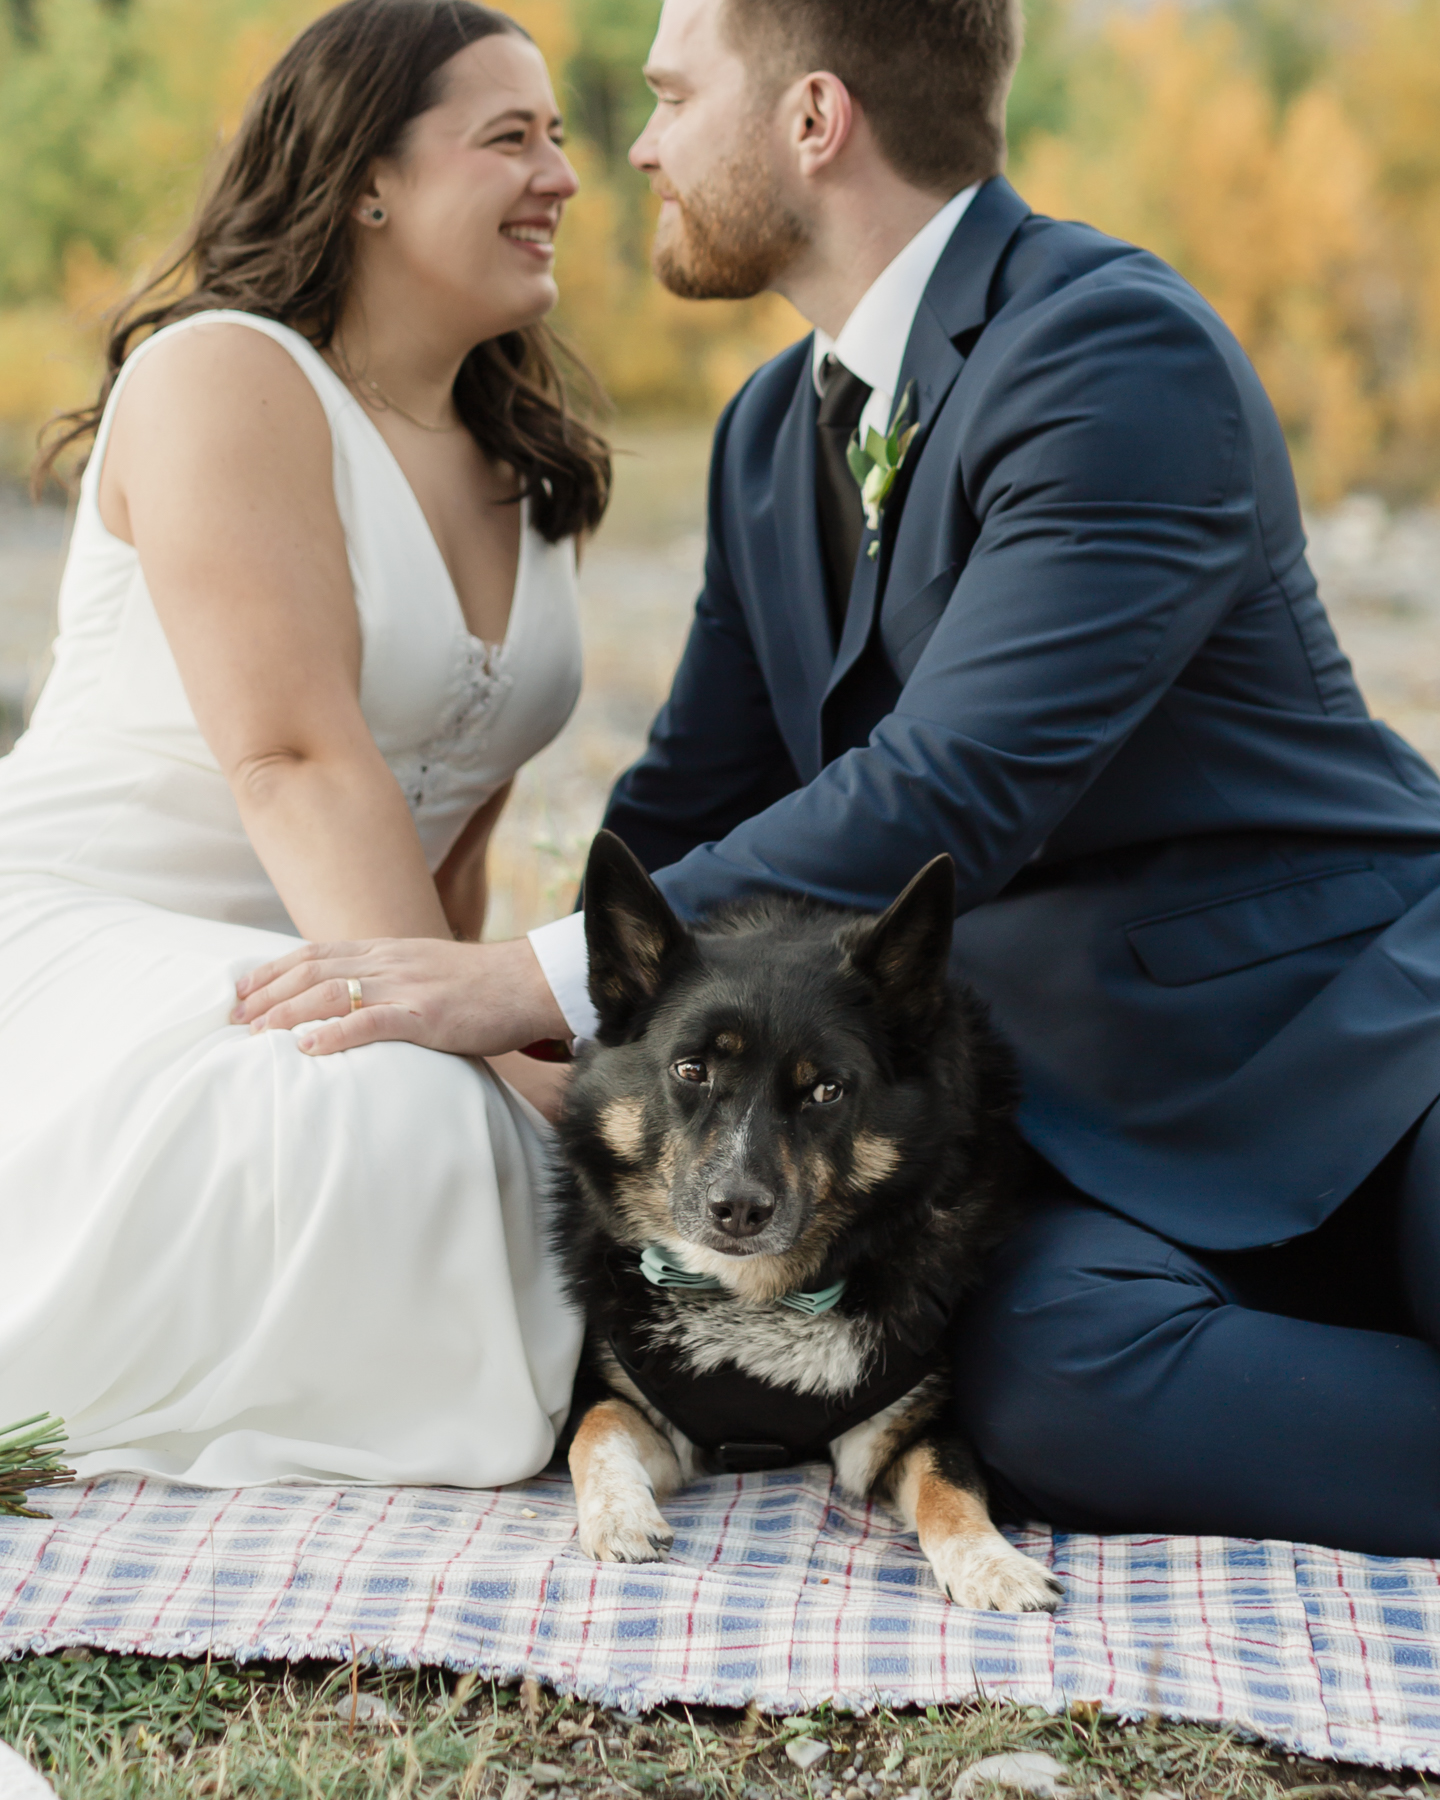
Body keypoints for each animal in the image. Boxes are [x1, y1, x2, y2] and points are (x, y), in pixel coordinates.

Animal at [558, 831, 1065, 1620]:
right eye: (691, 1069)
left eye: (826, 1090)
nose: (738, 1208)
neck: (755, 1295)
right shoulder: (624, 1394)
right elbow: (597, 1429)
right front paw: (620, 1514)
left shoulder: (904, 1426)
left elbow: (950, 1485)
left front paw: (993, 1563)